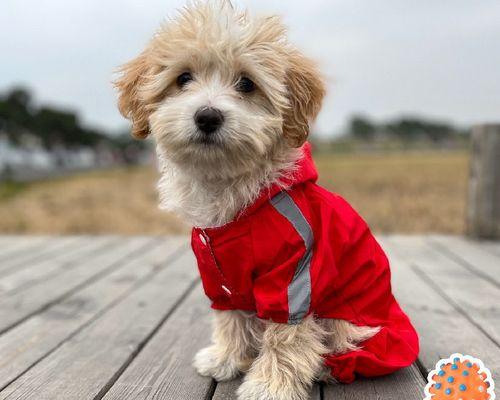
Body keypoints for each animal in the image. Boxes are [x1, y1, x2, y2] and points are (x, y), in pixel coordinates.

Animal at [114, 1, 418, 398]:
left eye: (246, 83)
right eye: (183, 78)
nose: (207, 116)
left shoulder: (292, 277)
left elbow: (286, 337)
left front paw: (269, 385)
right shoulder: (219, 277)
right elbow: (230, 319)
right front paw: (226, 358)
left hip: (354, 323)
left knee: (343, 346)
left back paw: (327, 367)